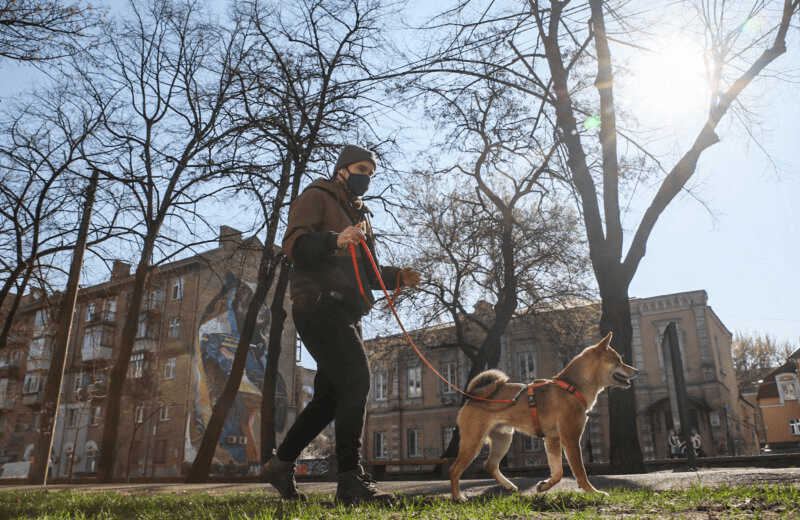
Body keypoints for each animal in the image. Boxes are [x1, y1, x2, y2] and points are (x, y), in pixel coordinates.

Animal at [450, 334, 636, 500]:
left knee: (490, 465)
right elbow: (580, 472)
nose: (636, 370)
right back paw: (458, 497)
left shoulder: (552, 439)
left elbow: (558, 472)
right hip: (474, 442)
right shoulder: (571, 438)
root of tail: (473, 397)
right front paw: (594, 493)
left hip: (503, 439)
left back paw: (508, 485)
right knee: (455, 469)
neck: (571, 388)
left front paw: (545, 485)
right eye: (618, 360)